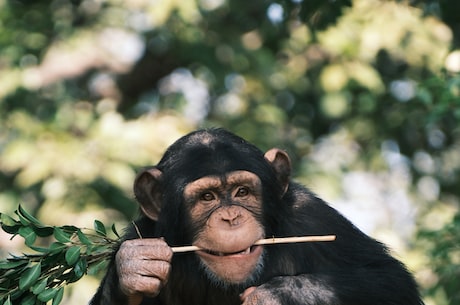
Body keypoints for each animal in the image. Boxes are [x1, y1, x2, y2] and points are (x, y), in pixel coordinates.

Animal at [90, 127, 424, 304]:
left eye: (242, 192)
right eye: (207, 197)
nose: (230, 217)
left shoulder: (311, 217)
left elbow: (389, 278)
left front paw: (279, 295)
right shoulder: (142, 232)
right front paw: (134, 266)